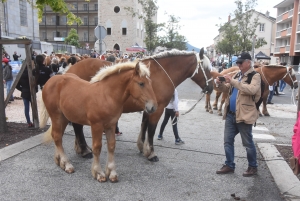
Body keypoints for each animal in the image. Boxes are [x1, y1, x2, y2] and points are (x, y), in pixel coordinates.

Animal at [64, 48, 213, 162]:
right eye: (206, 68)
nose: (211, 87)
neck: (162, 73)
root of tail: (70, 70)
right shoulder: (157, 109)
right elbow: (151, 130)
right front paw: (151, 153)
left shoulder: (149, 107)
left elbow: (144, 126)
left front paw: (142, 147)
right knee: (77, 126)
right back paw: (84, 150)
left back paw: (81, 148)